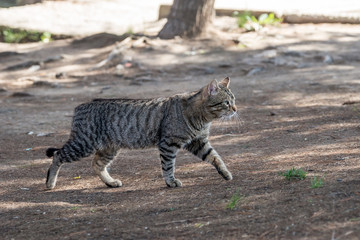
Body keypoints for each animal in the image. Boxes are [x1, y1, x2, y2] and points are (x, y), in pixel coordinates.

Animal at [45, 77, 236, 189]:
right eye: (226, 102)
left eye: (234, 100)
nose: (235, 109)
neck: (203, 118)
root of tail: (80, 106)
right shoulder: (169, 143)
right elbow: (168, 165)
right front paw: (170, 181)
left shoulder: (199, 142)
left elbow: (215, 157)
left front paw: (225, 173)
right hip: (83, 144)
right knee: (57, 156)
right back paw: (50, 183)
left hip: (108, 149)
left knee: (96, 164)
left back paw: (111, 182)